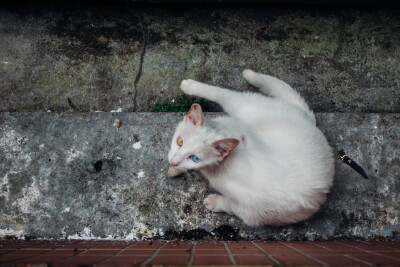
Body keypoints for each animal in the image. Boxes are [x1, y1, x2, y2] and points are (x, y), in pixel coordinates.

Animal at [168, 69, 334, 226]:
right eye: (180, 141)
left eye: (195, 158)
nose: (174, 162)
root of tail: (310, 122)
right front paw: (174, 169)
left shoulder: (251, 211)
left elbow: (230, 206)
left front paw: (215, 202)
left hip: (248, 107)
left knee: (226, 94)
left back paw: (192, 85)